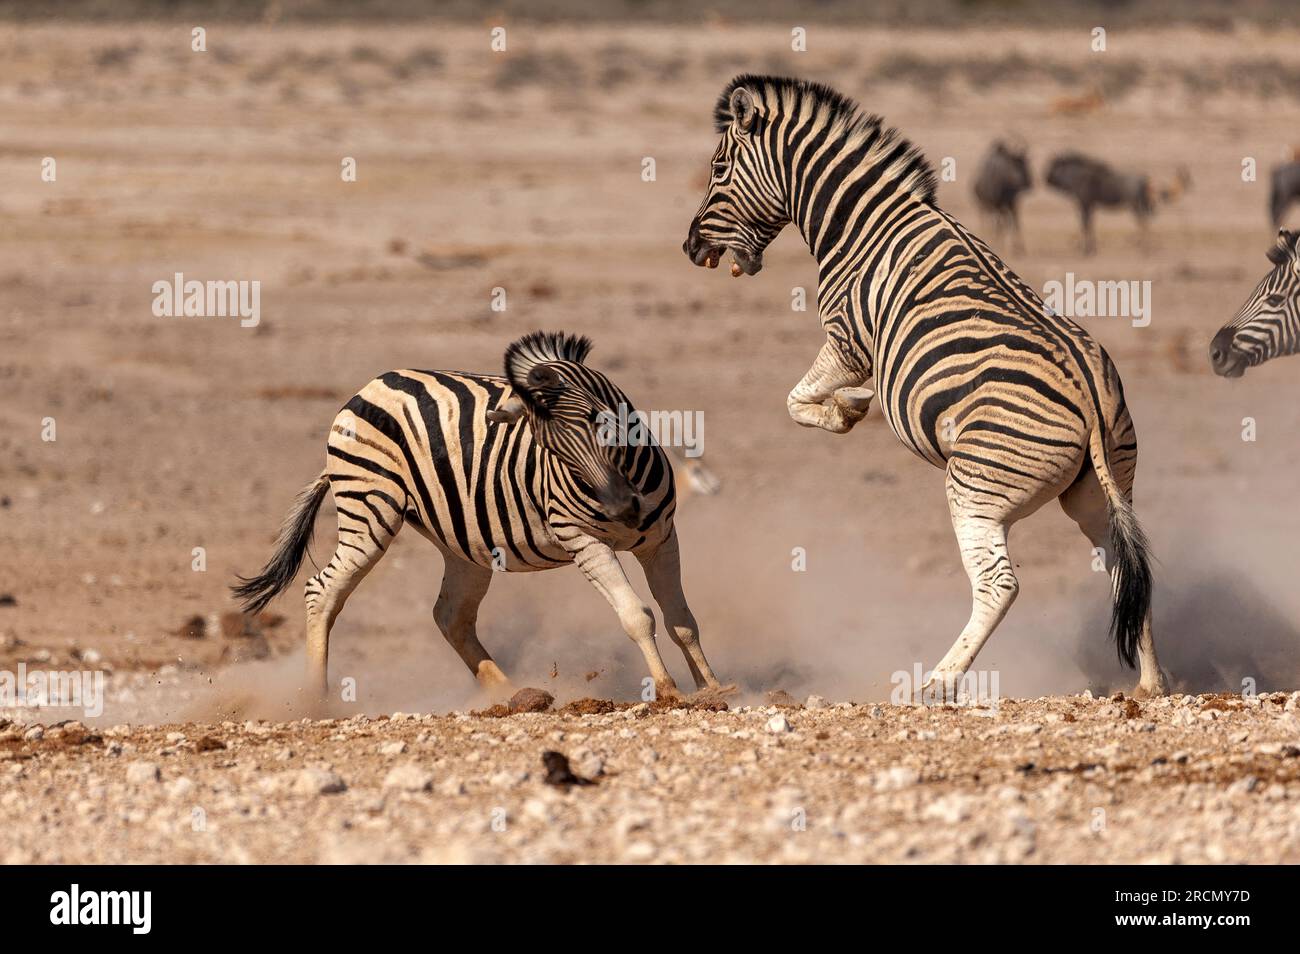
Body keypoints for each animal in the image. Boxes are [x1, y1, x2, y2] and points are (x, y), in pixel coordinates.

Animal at [228, 332, 728, 707]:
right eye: (550, 450)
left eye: (602, 422)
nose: (622, 509)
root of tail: (372, 384)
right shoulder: (583, 540)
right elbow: (637, 616)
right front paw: (669, 691)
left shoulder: (662, 539)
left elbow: (682, 619)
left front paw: (712, 687)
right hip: (370, 507)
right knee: (323, 590)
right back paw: (316, 699)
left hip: (462, 540)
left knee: (450, 614)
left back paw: (510, 692)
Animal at [681, 74, 1170, 696]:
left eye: (718, 168)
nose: (690, 248)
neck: (861, 226)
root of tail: (1090, 398)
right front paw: (847, 407)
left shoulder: (848, 340)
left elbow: (795, 400)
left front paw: (848, 408)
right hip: (1104, 489)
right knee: (1124, 567)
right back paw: (1150, 682)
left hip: (975, 489)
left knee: (1000, 585)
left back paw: (935, 683)